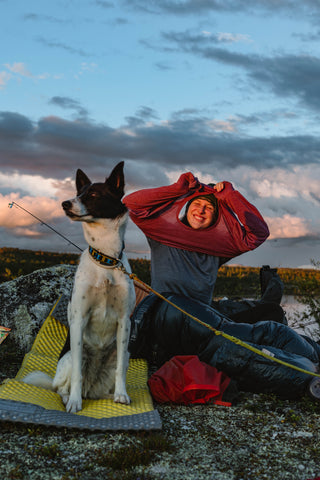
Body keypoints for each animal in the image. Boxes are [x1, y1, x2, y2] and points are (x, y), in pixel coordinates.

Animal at [23, 161, 136, 412]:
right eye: (78, 193)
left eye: (93, 194)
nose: (65, 203)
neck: (105, 259)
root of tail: (90, 388)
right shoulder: (79, 319)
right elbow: (76, 375)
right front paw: (75, 403)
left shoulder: (125, 321)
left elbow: (120, 372)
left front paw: (122, 395)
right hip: (72, 358)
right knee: (61, 387)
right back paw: (70, 398)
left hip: (121, 355)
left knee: (107, 381)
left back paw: (106, 395)